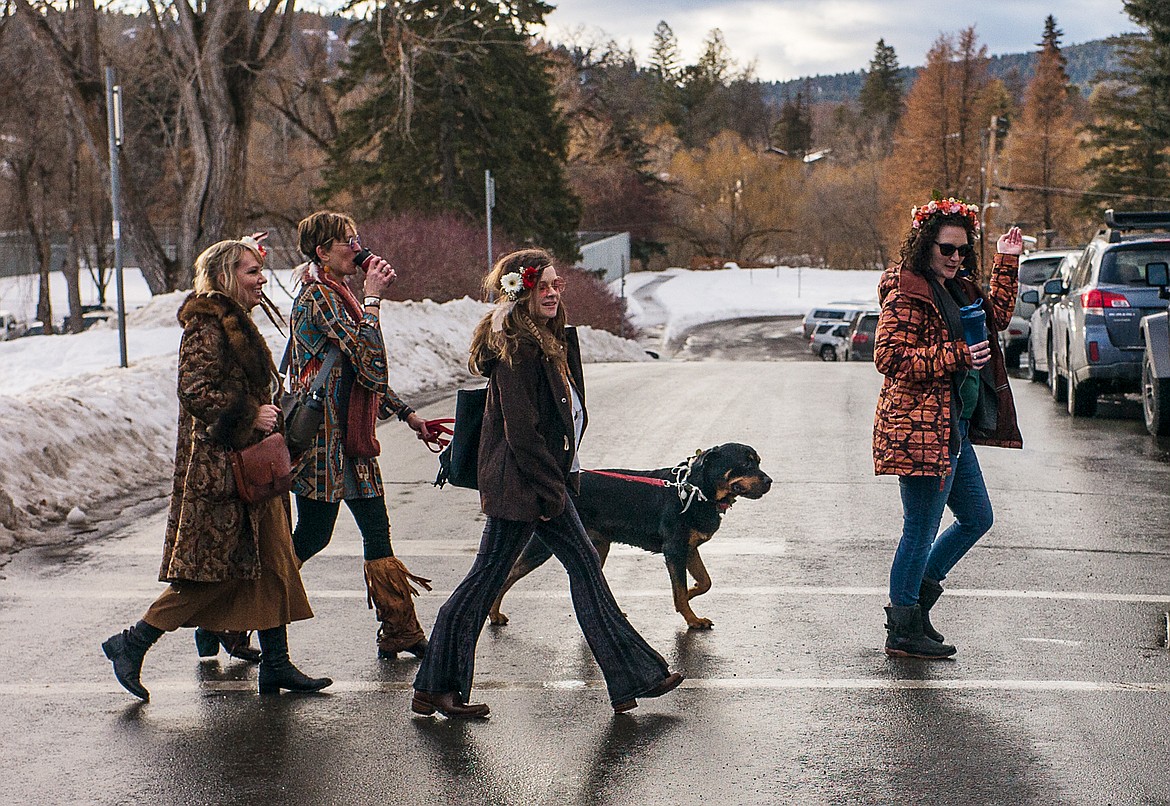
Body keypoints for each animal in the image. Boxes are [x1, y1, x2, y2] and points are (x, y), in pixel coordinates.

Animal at [489, 442, 772, 631]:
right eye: (746, 463)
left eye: (758, 461)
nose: (769, 481)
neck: (696, 489)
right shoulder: (674, 549)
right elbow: (679, 589)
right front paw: (691, 618)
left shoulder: (689, 549)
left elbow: (705, 581)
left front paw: (691, 594)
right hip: (543, 546)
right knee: (509, 573)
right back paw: (494, 614)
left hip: (598, 546)